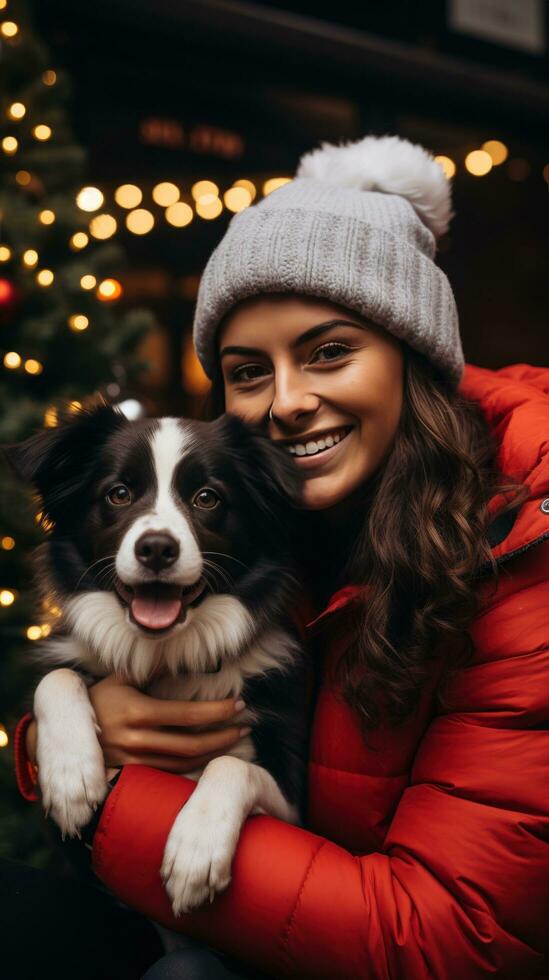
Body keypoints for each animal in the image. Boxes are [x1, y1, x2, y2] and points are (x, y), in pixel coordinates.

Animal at [4, 402, 310, 916]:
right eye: (119, 493)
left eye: (207, 497)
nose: (157, 549)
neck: (164, 655)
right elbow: (57, 678)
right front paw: (70, 776)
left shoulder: (294, 804)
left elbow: (230, 765)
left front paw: (196, 849)